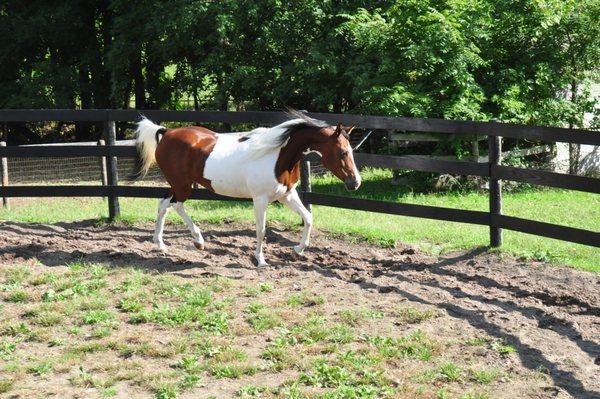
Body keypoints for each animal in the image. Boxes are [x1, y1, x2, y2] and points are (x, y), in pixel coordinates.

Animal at [136, 114, 360, 268]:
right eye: (343, 152)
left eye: (351, 151)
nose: (355, 182)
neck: (278, 156)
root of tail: (167, 132)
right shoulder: (260, 199)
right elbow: (261, 230)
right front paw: (260, 261)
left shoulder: (287, 195)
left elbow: (308, 218)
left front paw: (297, 251)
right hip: (182, 185)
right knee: (176, 205)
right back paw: (198, 241)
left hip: (177, 184)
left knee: (164, 204)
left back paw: (161, 245)